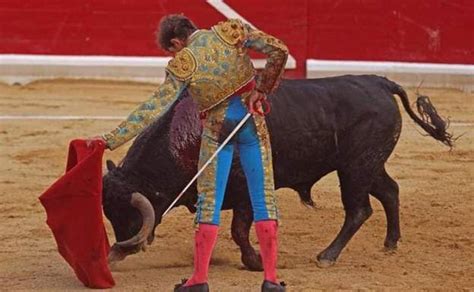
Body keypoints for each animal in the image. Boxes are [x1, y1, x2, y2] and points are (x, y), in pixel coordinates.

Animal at [103, 74, 452, 270]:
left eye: (129, 216)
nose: (116, 254)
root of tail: (380, 82)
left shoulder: (245, 191)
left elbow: (239, 230)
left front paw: (255, 262)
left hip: (357, 168)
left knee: (359, 210)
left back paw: (327, 256)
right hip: (367, 165)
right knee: (390, 191)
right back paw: (391, 243)